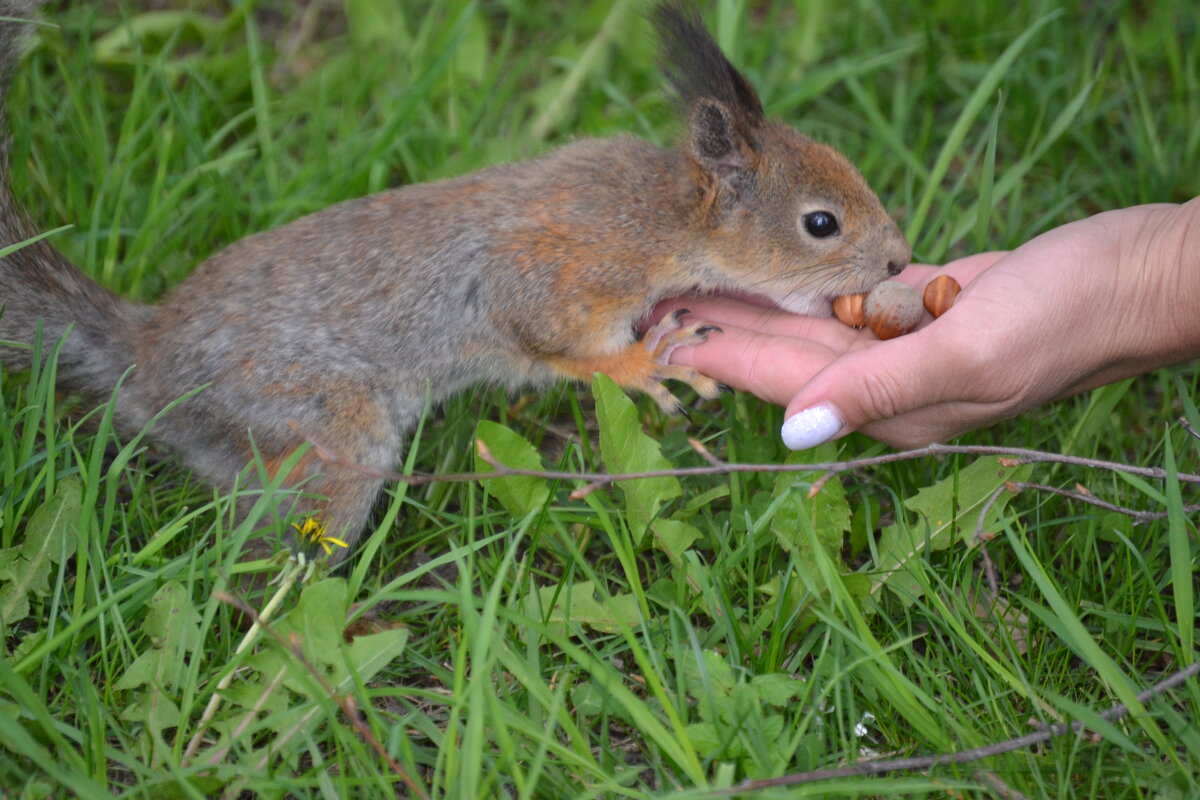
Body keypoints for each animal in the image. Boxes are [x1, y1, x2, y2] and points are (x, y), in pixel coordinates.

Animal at [0, 1, 902, 556]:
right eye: (821, 223)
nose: (898, 261)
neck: (665, 218)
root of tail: (145, 358)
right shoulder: (559, 270)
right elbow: (548, 340)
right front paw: (644, 364)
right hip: (319, 428)